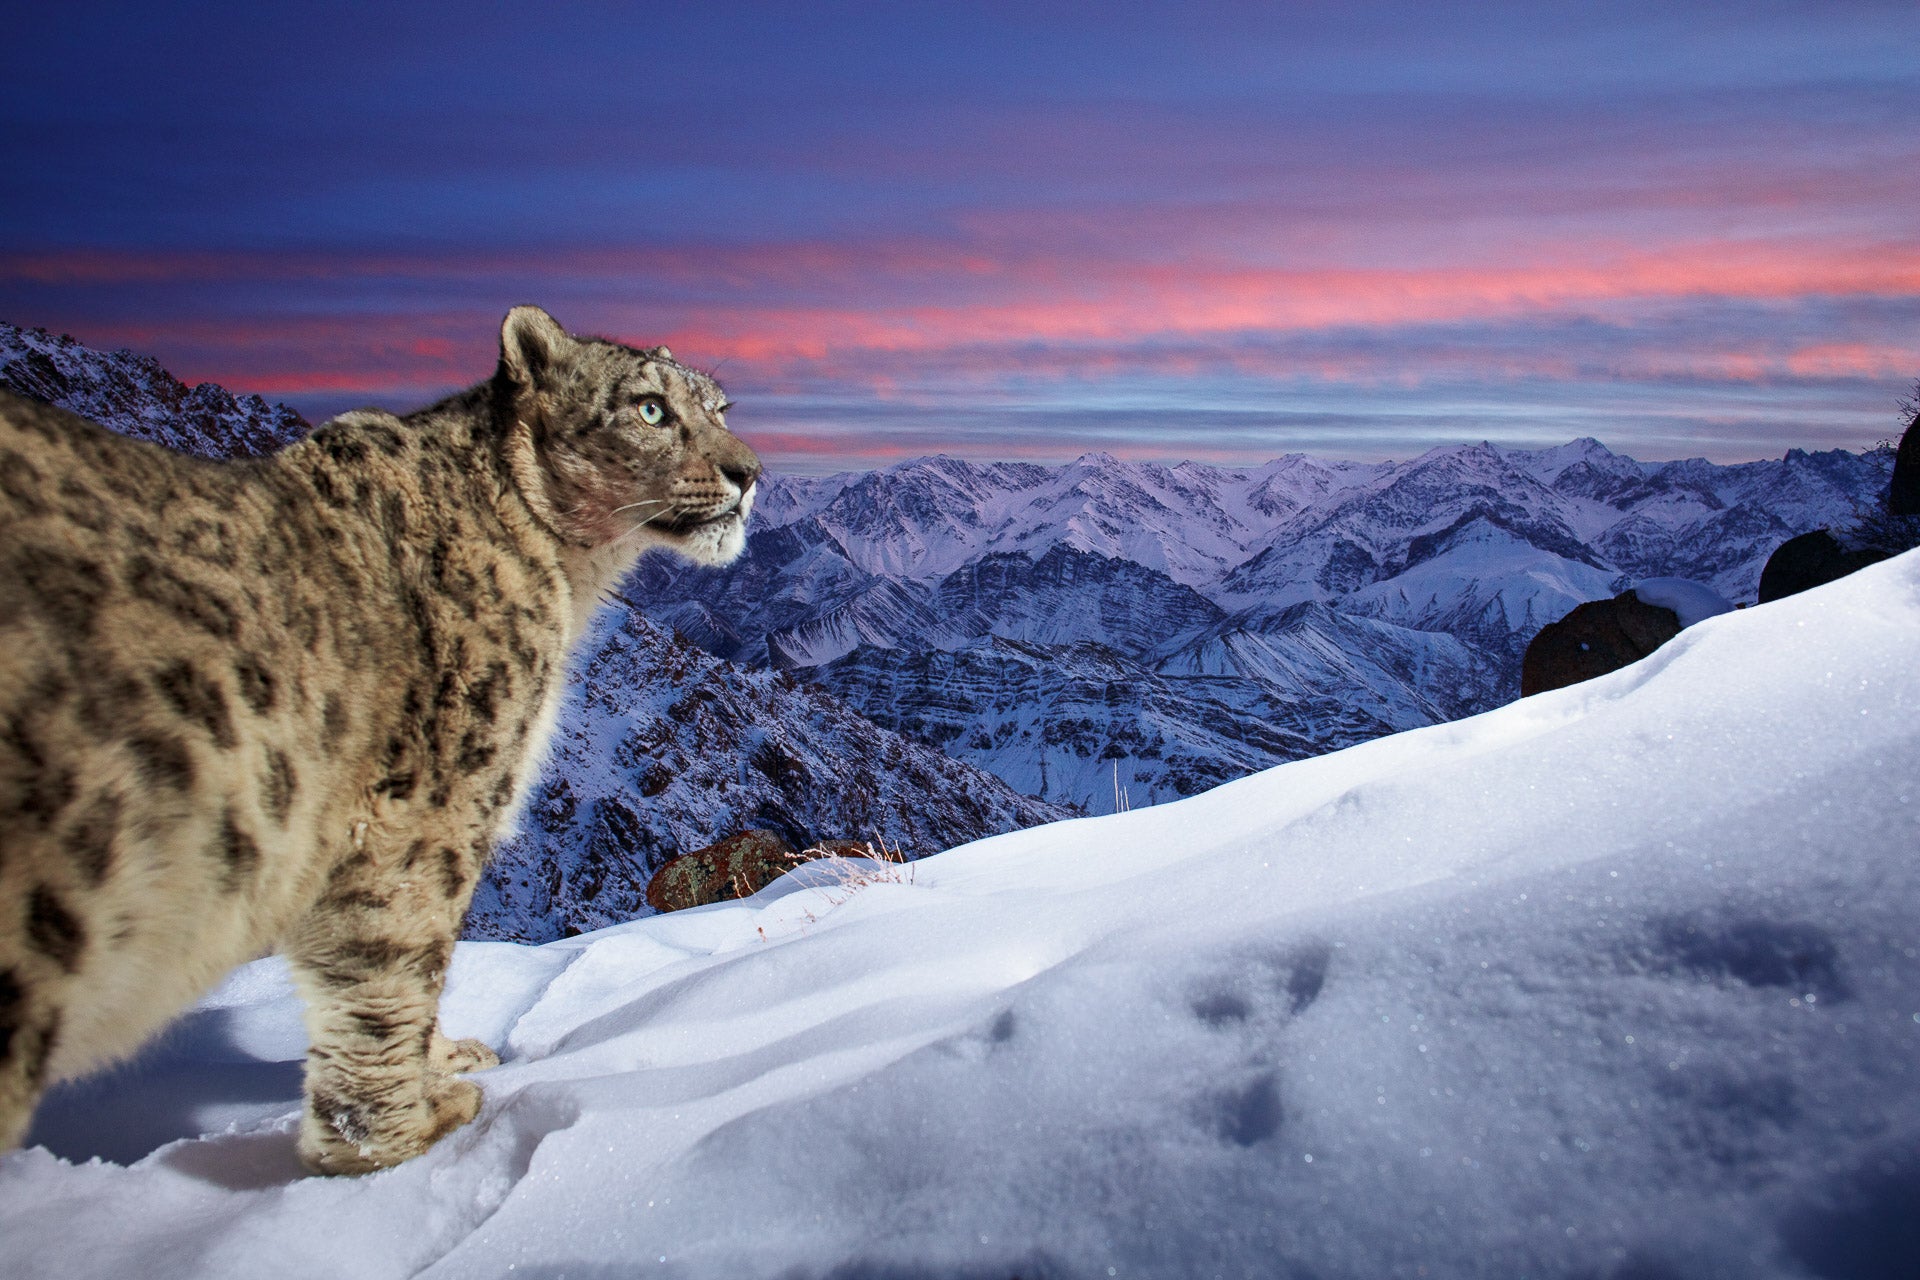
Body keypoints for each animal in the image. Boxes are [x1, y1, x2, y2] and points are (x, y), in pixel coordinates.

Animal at [0, 305, 759, 1173]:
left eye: (719, 407)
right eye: (650, 409)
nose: (749, 472)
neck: (570, 581)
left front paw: (444, 1065)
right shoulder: (429, 810)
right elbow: (395, 966)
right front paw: (403, 1138)